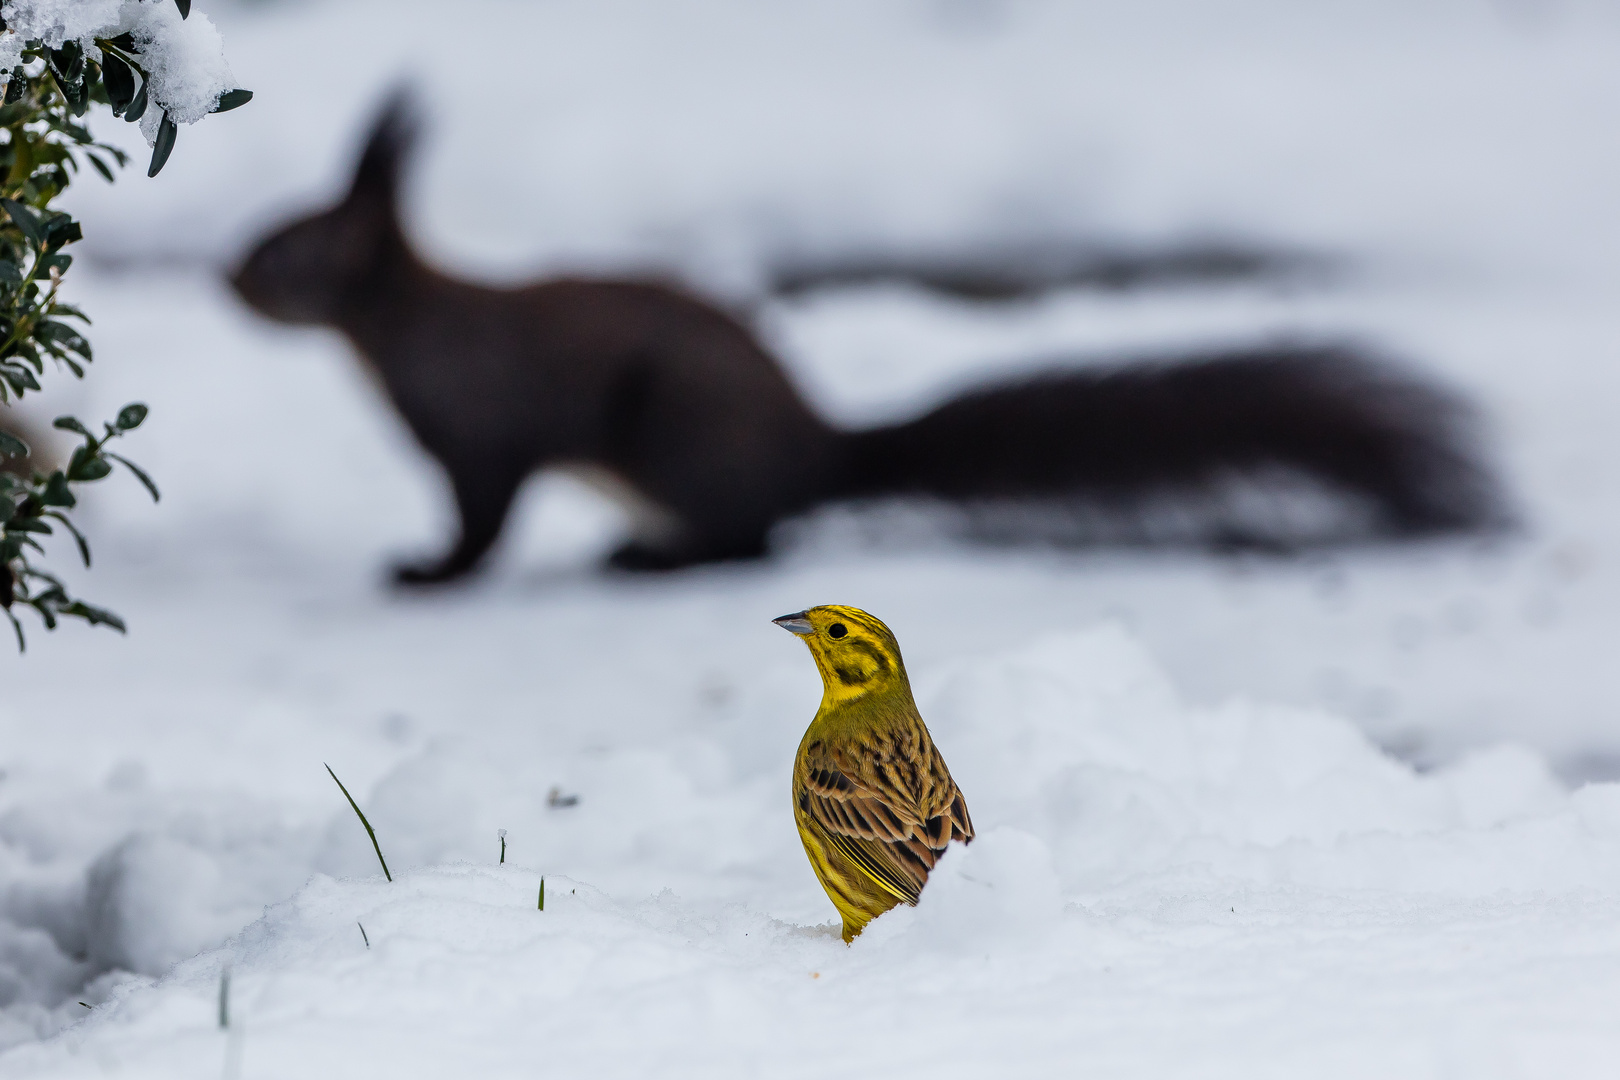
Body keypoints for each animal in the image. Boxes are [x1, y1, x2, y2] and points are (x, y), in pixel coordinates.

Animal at [231, 93, 1503, 586]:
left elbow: (483, 519)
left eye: (292, 251)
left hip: (680, 436)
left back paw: (659, 559)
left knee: (759, 541)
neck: (406, 328)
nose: (228, 280)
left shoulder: (483, 429)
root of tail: (824, 450)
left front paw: (428, 575)